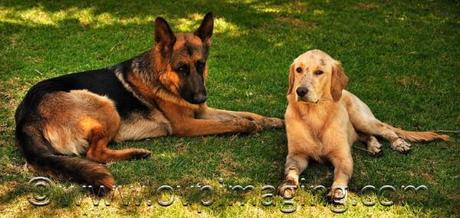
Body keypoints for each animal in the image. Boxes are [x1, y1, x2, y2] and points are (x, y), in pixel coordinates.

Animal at [15, 12, 284, 190]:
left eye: (200, 65)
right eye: (181, 68)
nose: (200, 97)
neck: (160, 78)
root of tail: (25, 116)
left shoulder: (202, 112)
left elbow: (244, 113)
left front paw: (272, 121)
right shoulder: (187, 125)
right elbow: (230, 123)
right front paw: (249, 126)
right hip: (105, 105)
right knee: (94, 153)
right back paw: (136, 153)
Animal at [276, 49, 450, 203]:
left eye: (319, 72)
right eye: (298, 69)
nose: (300, 91)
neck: (315, 115)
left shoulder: (343, 157)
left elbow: (340, 175)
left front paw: (337, 191)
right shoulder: (296, 155)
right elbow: (290, 171)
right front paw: (288, 185)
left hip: (362, 119)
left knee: (385, 129)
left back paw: (398, 143)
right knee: (365, 135)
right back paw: (374, 146)